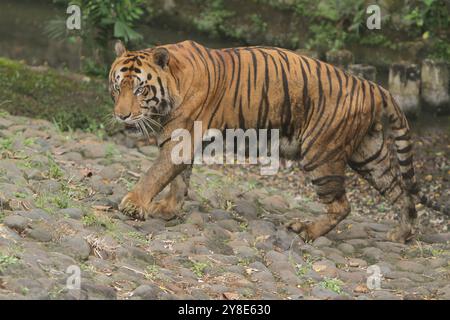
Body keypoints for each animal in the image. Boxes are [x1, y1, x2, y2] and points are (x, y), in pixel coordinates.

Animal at [108, 40, 446, 245]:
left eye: (140, 89)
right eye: (116, 87)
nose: (122, 115)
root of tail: (372, 85)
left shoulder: (182, 139)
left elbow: (156, 174)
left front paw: (133, 205)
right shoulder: (180, 141)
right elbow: (177, 180)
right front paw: (167, 209)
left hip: (320, 155)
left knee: (342, 205)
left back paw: (306, 230)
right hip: (370, 155)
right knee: (401, 192)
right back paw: (400, 234)